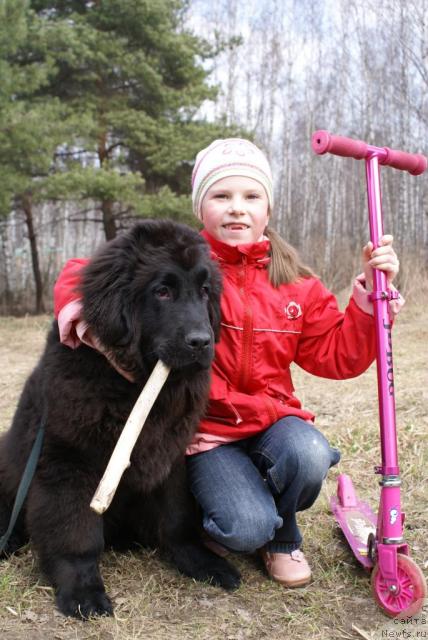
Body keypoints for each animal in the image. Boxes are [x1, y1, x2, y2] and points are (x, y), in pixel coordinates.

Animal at [0, 219, 239, 616]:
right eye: (162, 292)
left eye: (205, 291)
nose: (202, 342)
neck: (137, 385)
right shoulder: (68, 461)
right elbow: (76, 532)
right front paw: (82, 590)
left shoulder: (170, 455)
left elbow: (177, 518)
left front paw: (202, 562)